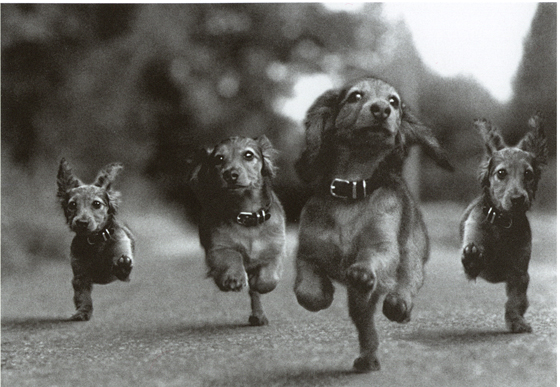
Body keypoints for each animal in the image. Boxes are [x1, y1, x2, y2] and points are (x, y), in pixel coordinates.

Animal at [57, 158, 135, 322]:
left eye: (97, 204)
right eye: (72, 205)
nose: (82, 222)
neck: (95, 240)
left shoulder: (121, 247)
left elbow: (122, 262)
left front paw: (123, 265)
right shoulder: (80, 275)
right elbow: (83, 296)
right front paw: (82, 312)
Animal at [190, 136, 286, 328]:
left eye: (248, 155)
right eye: (219, 159)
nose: (230, 174)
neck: (247, 216)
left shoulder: (275, 250)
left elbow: (269, 278)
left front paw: (259, 282)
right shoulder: (218, 248)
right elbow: (232, 256)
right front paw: (233, 278)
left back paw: (258, 314)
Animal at [296, 76, 452, 372]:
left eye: (394, 102)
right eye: (355, 96)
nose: (381, 110)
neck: (352, 189)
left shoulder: (383, 245)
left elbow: (372, 258)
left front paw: (362, 272)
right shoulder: (308, 251)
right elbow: (305, 291)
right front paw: (323, 294)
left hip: (411, 252)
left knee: (407, 280)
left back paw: (399, 305)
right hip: (360, 302)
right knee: (366, 324)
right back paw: (368, 357)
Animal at [462, 112, 548, 334]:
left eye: (528, 174)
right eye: (501, 173)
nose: (518, 199)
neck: (502, 222)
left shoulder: (520, 273)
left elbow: (515, 301)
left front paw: (516, 321)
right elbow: (473, 260)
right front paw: (472, 258)